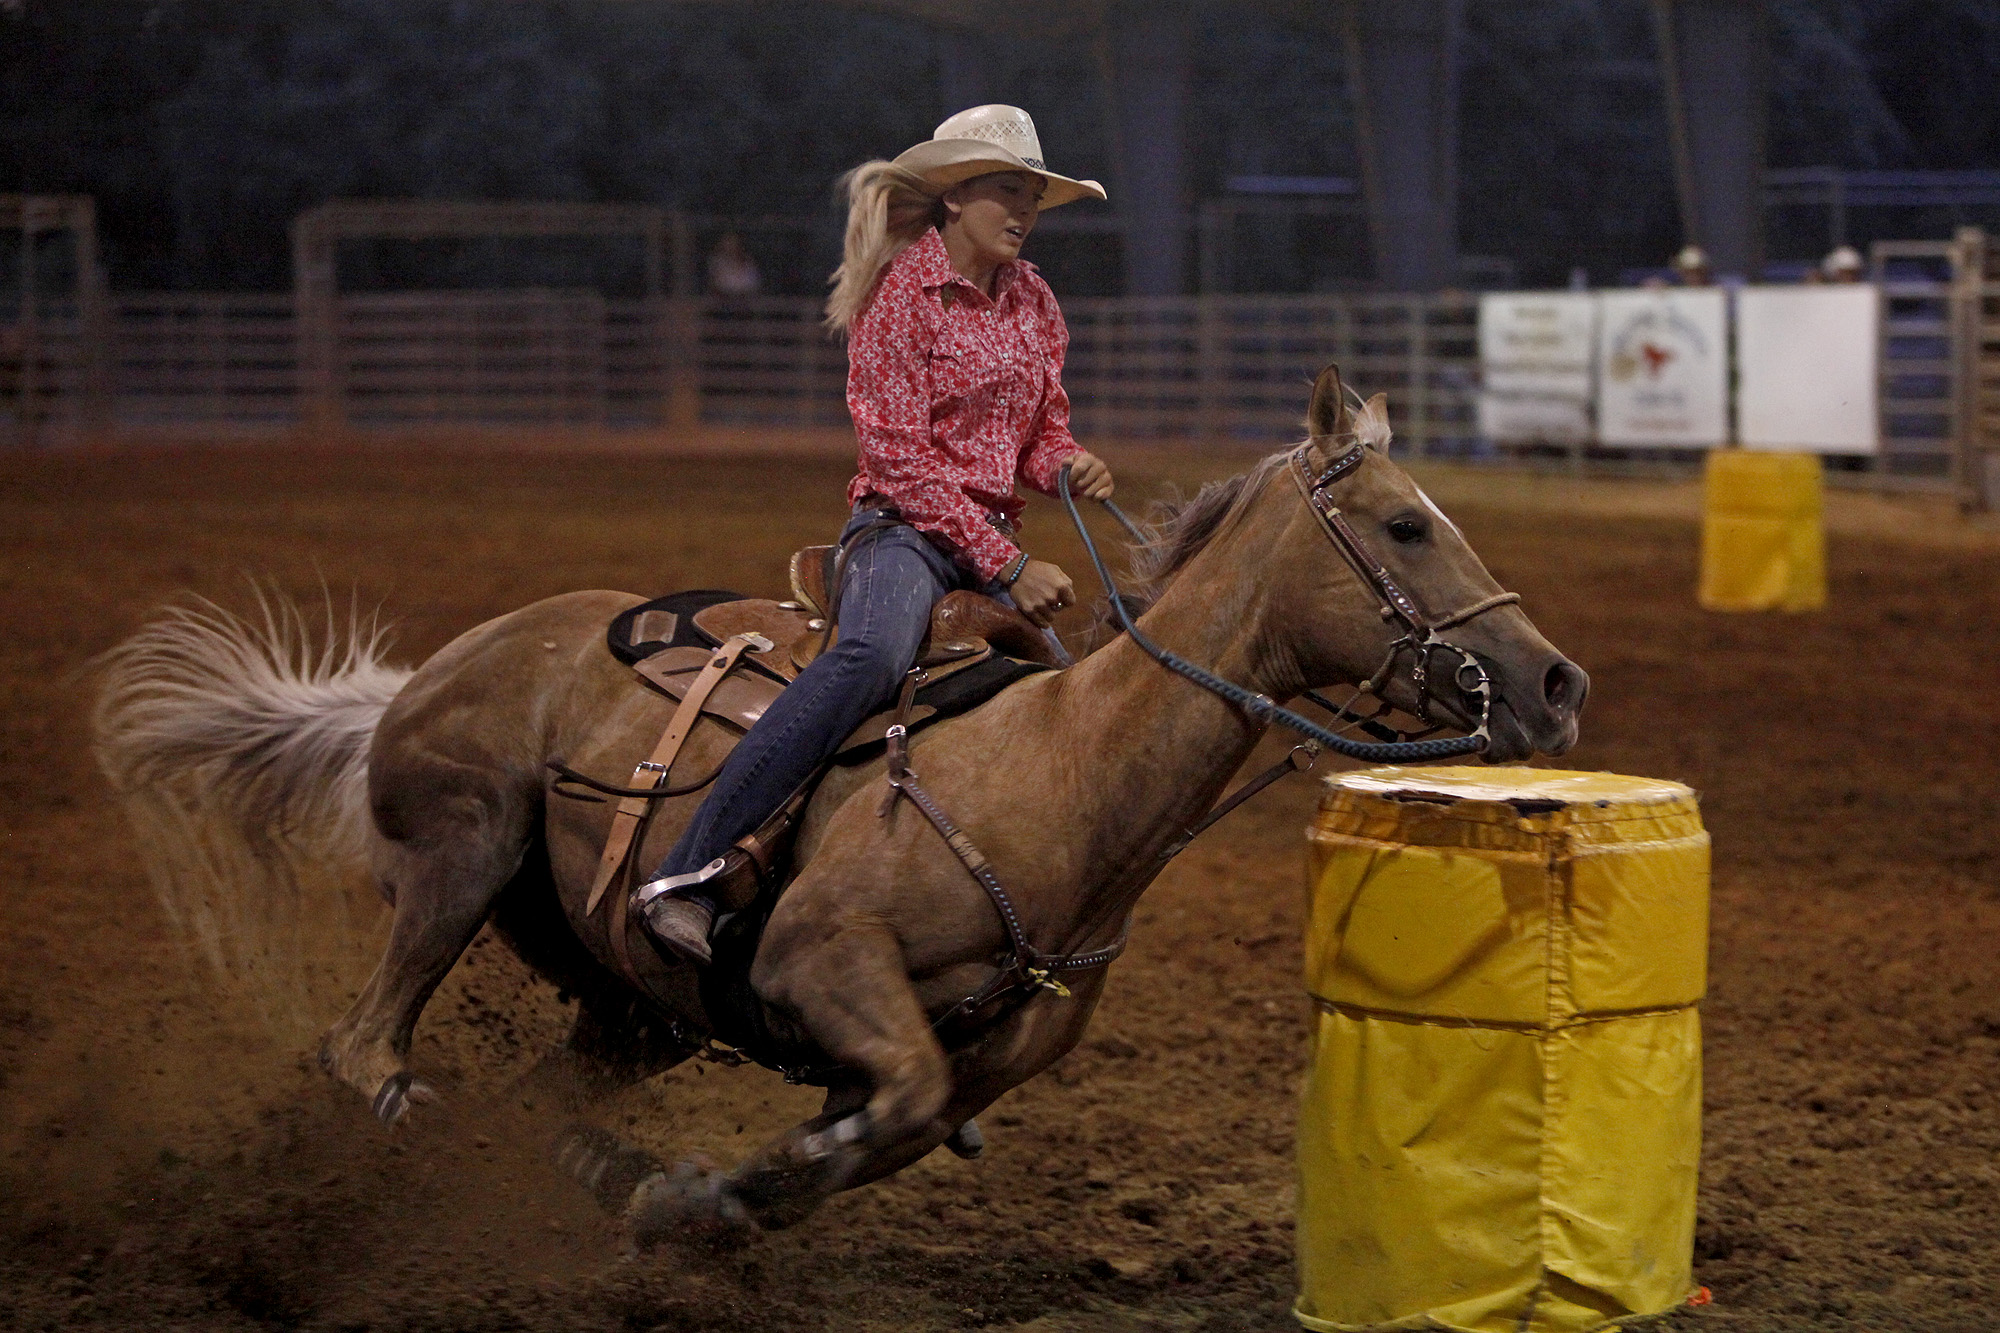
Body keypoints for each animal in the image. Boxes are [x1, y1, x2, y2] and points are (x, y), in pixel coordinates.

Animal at [101, 360, 1584, 1232]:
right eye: (1406, 525)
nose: (1556, 681)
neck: (1065, 780)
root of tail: (429, 669)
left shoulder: (953, 1058)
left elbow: (876, 1134)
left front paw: (686, 1195)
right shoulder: (823, 961)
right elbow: (897, 1103)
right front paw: (688, 1199)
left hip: (634, 1009)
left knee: (524, 1090)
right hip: (462, 853)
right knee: (365, 1051)